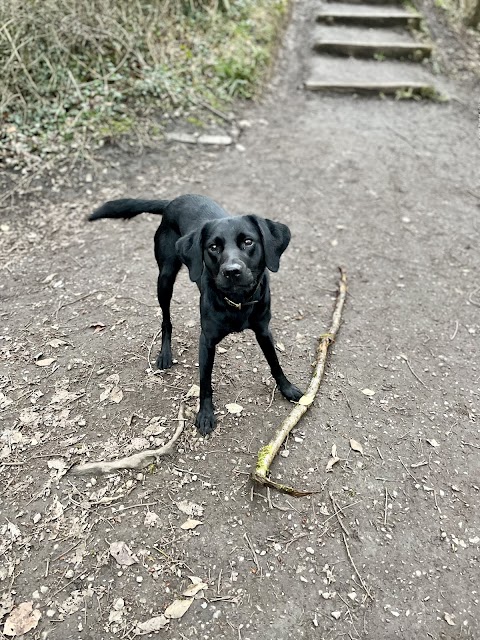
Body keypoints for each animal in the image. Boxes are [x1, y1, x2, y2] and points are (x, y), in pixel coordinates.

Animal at [88, 194, 302, 436]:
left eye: (248, 242)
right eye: (213, 247)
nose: (232, 271)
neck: (237, 302)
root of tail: (172, 201)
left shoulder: (263, 330)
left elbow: (275, 362)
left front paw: (287, 388)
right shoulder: (207, 341)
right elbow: (205, 382)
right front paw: (206, 414)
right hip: (165, 279)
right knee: (166, 320)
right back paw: (165, 354)